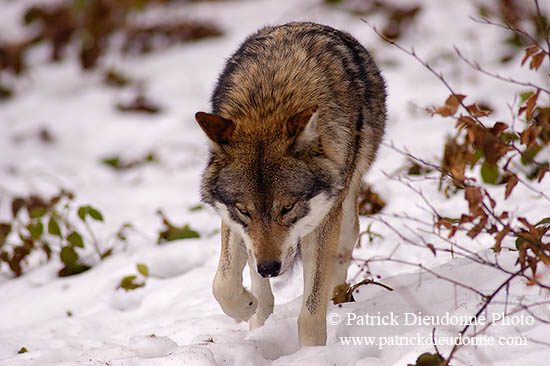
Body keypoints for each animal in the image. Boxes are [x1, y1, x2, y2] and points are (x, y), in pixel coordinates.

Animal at [196, 22, 386, 346]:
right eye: (244, 210)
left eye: (287, 208)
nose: (269, 268)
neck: (270, 99)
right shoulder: (234, 223)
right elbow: (222, 283)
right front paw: (246, 306)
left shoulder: (322, 223)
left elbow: (310, 313)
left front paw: (312, 352)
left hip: (345, 210)